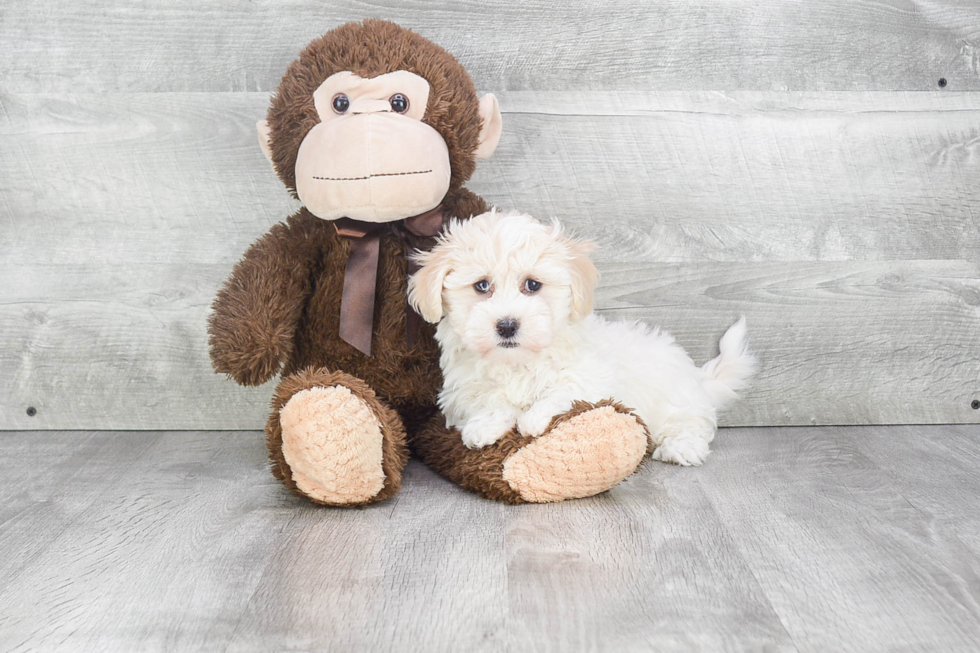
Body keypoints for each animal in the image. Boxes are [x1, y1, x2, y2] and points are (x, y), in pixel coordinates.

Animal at [406, 209, 756, 464]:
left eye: (532, 285)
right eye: (481, 286)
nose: (506, 325)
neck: (518, 361)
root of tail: (696, 378)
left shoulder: (591, 377)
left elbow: (563, 391)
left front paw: (533, 419)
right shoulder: (463, 389)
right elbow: (489, 400)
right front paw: (483, 427)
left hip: (674, 401)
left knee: (693, 423)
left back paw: (681, 448)